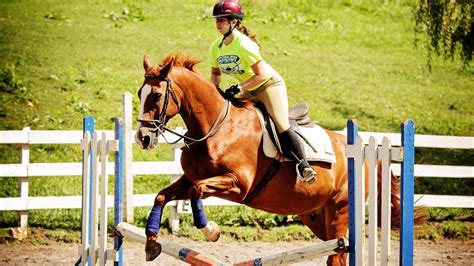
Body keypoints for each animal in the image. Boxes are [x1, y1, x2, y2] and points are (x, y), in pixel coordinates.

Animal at [136, 54, 404, 266]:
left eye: (157, 95)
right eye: (140, 93)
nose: (143, 138)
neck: (215, 128)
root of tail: (361, 151)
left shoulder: (238, 185)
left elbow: (196, 191)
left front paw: (211, 231)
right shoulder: (191, 178)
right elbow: (162, 195)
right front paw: (151, 246)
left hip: (340, 209)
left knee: (337, 256)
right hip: (317, 216)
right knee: (337, 251)